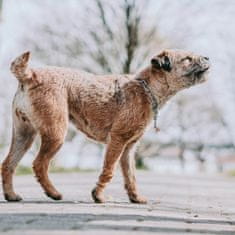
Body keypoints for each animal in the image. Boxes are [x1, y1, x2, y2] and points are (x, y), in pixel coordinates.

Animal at [0, 49, 210, 202]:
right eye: (187, 59)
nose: (207, 57)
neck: (146, 88)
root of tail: (31, 75)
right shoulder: (117, 140)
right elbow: (109, 170)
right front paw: (98, 196)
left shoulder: (129, 148)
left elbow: (130, 176)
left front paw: (135, 198)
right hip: (56, 133)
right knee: (39, 164)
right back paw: (53, 193)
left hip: (24, 135)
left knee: (8, 164)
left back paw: (11, 195)